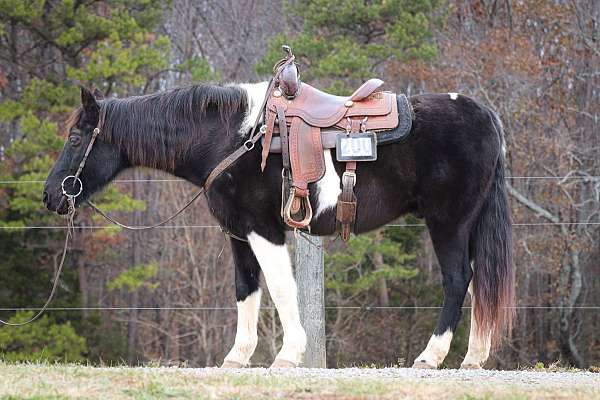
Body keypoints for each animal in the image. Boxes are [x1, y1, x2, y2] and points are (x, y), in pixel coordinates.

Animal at [44, 83, 516, 368]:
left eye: (74, 138)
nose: (51, 195)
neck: (234, 139)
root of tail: (484, 114)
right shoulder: (238, 233)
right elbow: (246, 290)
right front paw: (237, 356)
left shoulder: (263, 229)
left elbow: (281, 287)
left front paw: (288, 354)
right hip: (468, 225)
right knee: (479, 284)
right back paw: (474, 357)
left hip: (448, 223)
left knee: (457, 280)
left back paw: (432, 356)